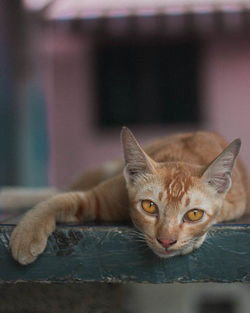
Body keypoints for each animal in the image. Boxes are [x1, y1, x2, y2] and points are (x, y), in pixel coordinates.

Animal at [9, 127, 248, 264]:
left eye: (194, 214)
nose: (166, 241)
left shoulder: (238, 201)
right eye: (149, 206)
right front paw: (27, 232)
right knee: (58, 190)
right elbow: (62, 200)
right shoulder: (98, 197)